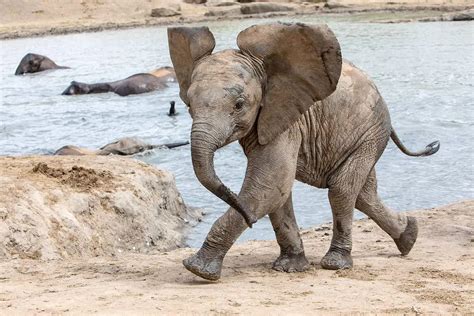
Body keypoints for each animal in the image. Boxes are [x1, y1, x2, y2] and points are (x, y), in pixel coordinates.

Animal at [168, 24, 440, 282]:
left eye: (239, 105)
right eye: (188, 105)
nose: (251, 222)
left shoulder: (286, 117)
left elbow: (269, 184)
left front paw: (198, 270)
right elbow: (278, 190)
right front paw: (290, 267)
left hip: (370, 132)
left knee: (342, 190)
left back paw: (336, 263)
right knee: (363, 195)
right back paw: (409, 236)